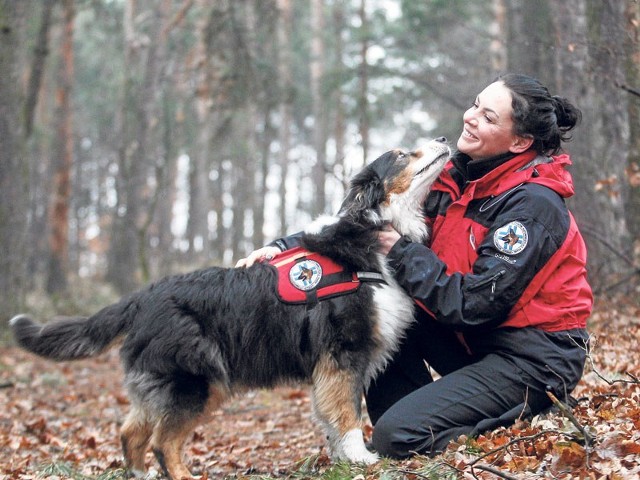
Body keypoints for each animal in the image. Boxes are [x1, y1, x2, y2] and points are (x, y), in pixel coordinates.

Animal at [10, 137, 450, 478]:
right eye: (402, 154)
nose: (445, 138)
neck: (369, 234)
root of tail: (143, 296)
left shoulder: (333, 366)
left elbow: (330, 417)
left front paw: (341, 459)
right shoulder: (342, 355)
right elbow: (346, 414)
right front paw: (360, 458)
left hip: (168, 383)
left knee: (131, 431)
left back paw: (139, 473)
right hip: (198, 381)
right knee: (162, 441)